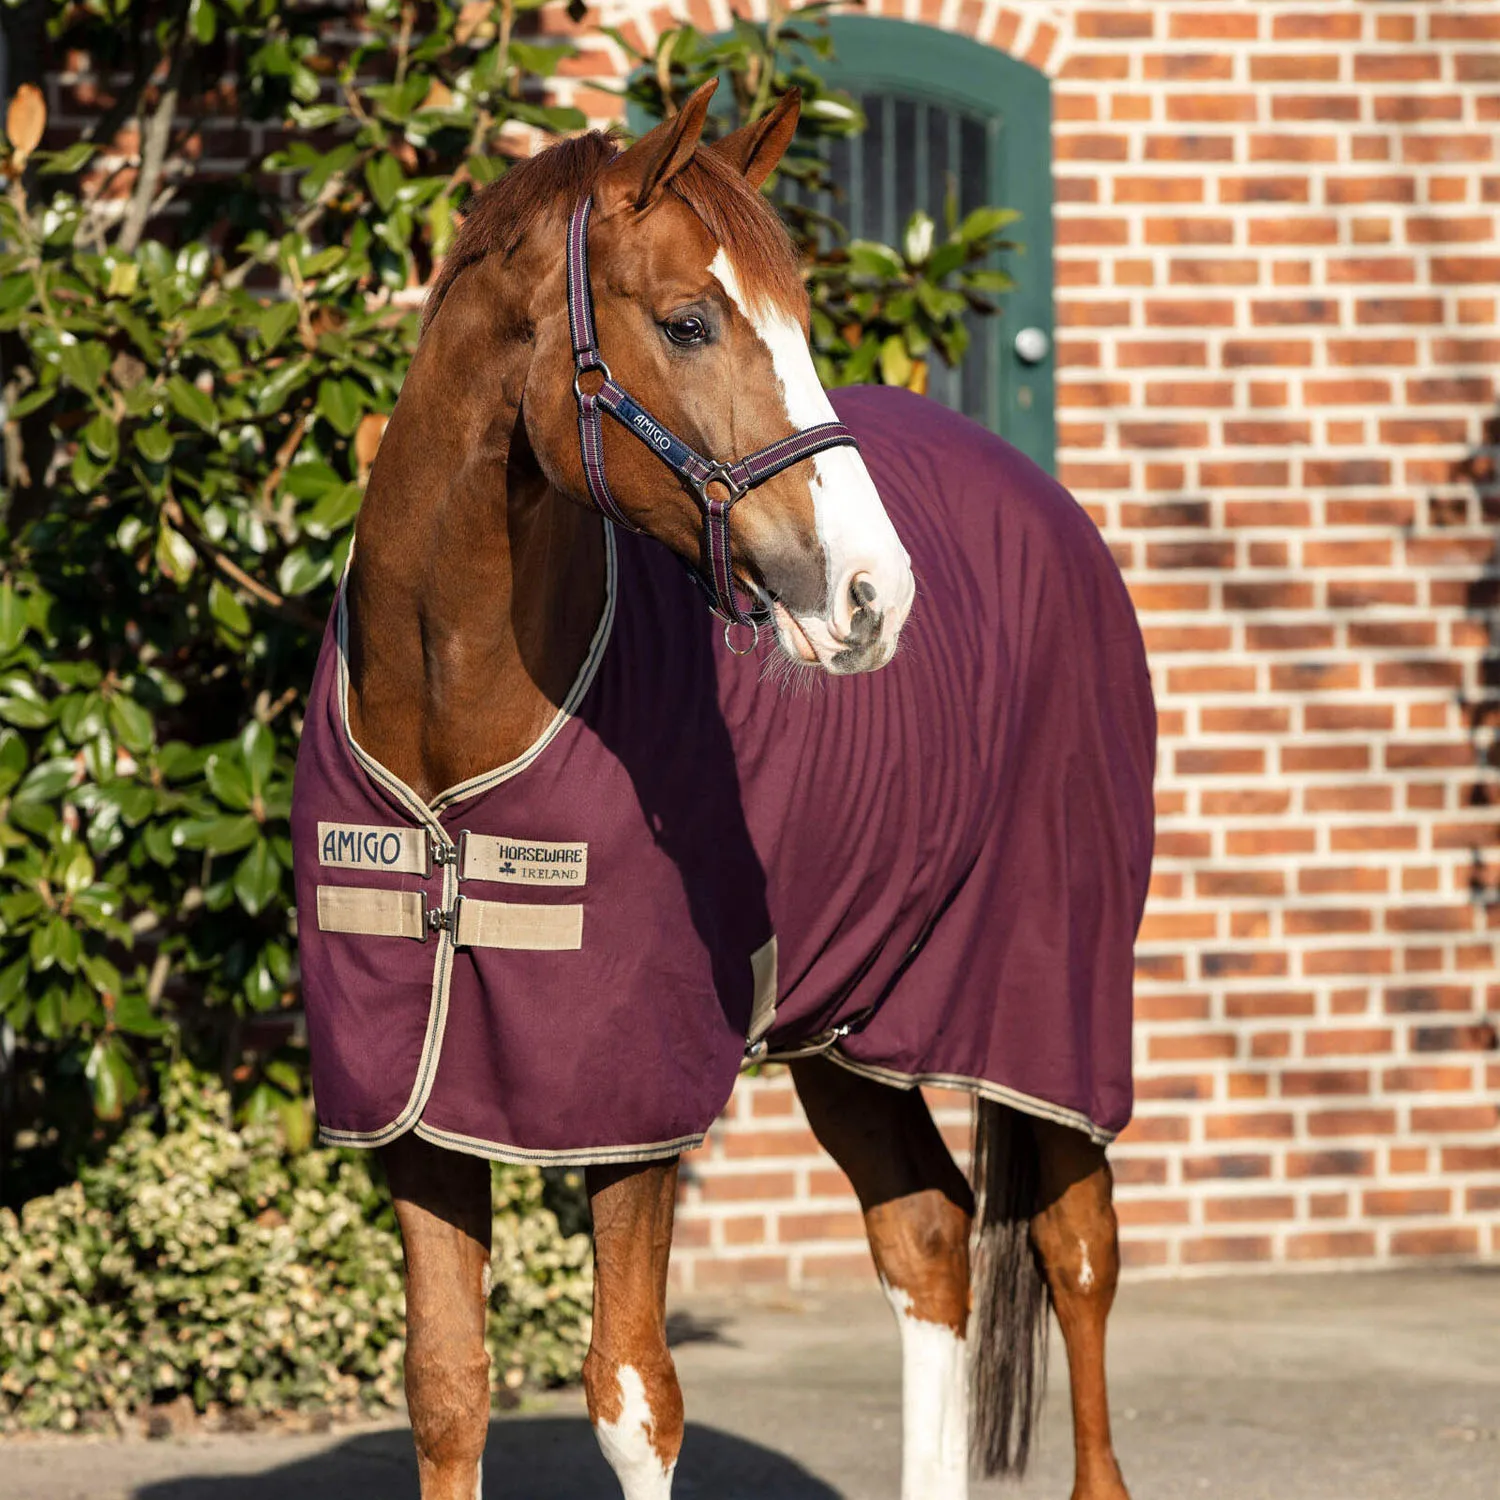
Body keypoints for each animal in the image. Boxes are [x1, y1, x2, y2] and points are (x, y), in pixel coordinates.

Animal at [289, 80, 1154, 1500]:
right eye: (690, 321)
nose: (873, 594)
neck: (448, 732)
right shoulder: (412, 1112)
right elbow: (447, 1388)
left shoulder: (629, 1115)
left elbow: (634, 1394)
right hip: (854, 1021)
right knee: (929, 1242)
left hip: (1050, 1012)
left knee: (1076, 1255)